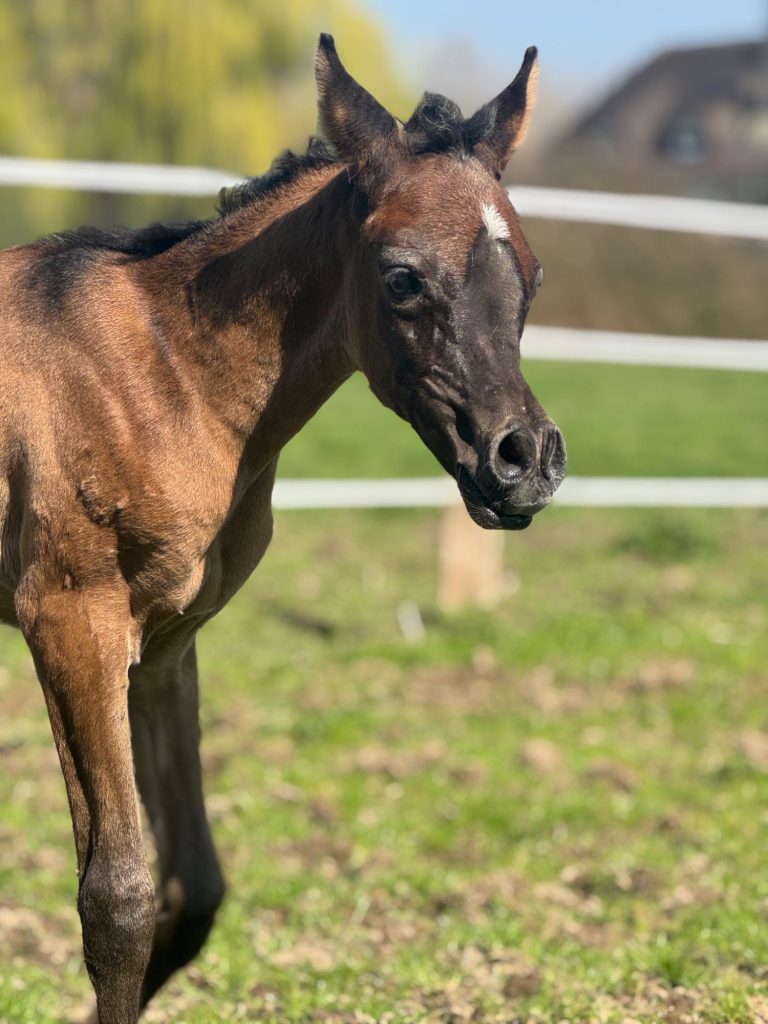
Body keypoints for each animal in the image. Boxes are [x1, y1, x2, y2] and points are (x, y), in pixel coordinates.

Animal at [0, 34, 565, 1022]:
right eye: (402, 278)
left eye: (529, 274)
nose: (524, 460)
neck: (166, 378)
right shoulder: (69, 622)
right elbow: (117, 897)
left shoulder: (163, 643)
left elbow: (193, 888)